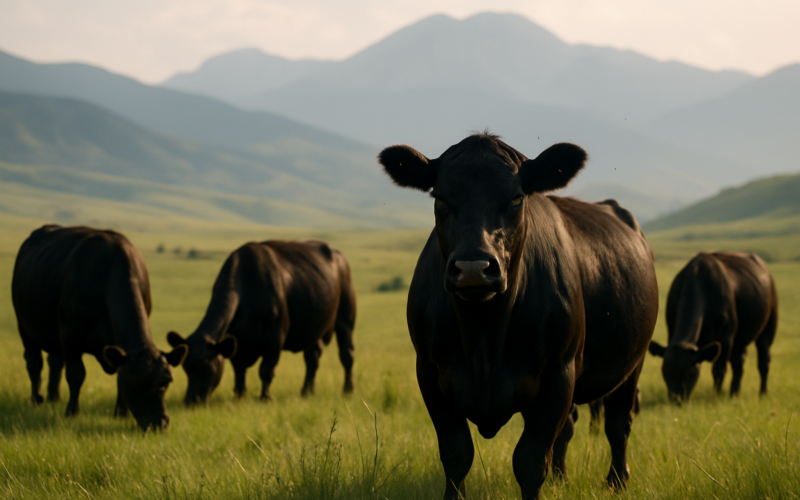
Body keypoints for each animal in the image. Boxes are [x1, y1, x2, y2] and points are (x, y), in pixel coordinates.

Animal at [12, 225, 188, 431]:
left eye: (166, 382)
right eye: (135, 383)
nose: (159, 423)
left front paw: (120, 414)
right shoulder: (70, 335)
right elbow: (76, 375)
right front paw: (71, 412)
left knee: (55, 362)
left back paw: (54, 397)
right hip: (24, 326)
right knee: (34, 362)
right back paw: (37, 399)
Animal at [166, 240, 356, 405]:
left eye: (205, 366)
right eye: (186, 367)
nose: (191, 402)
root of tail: (337, 254)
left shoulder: (275, 336)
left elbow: (266, 370)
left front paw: (265, 397)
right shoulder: (237, 342)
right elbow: (239, 371)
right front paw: (240, 396)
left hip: (346, 318)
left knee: (346, 355)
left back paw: (347, 389)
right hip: (314, 328)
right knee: (312, 358)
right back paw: (306, 391)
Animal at [378, 133, 659, 500]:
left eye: (516, 198)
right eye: (440, 198)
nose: (473, 268)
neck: (484, 338)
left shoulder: (558, 374)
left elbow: (529, 460)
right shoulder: (429, 372)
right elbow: (456, 454)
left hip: (631, 364)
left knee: (618, 423)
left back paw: (617, 480)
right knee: (570, 429)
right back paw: (561, 479)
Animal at [648, 251, 778, 403]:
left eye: (690, 373)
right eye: (665, 372)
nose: (677, 400)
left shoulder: (726, 337)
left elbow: (718, 369)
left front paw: (716, 395)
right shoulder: (671, 329)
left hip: (769, 327)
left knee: (764, 361)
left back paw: (762, 393)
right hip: (740, 339)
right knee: (738, 363)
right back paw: (734, 393)